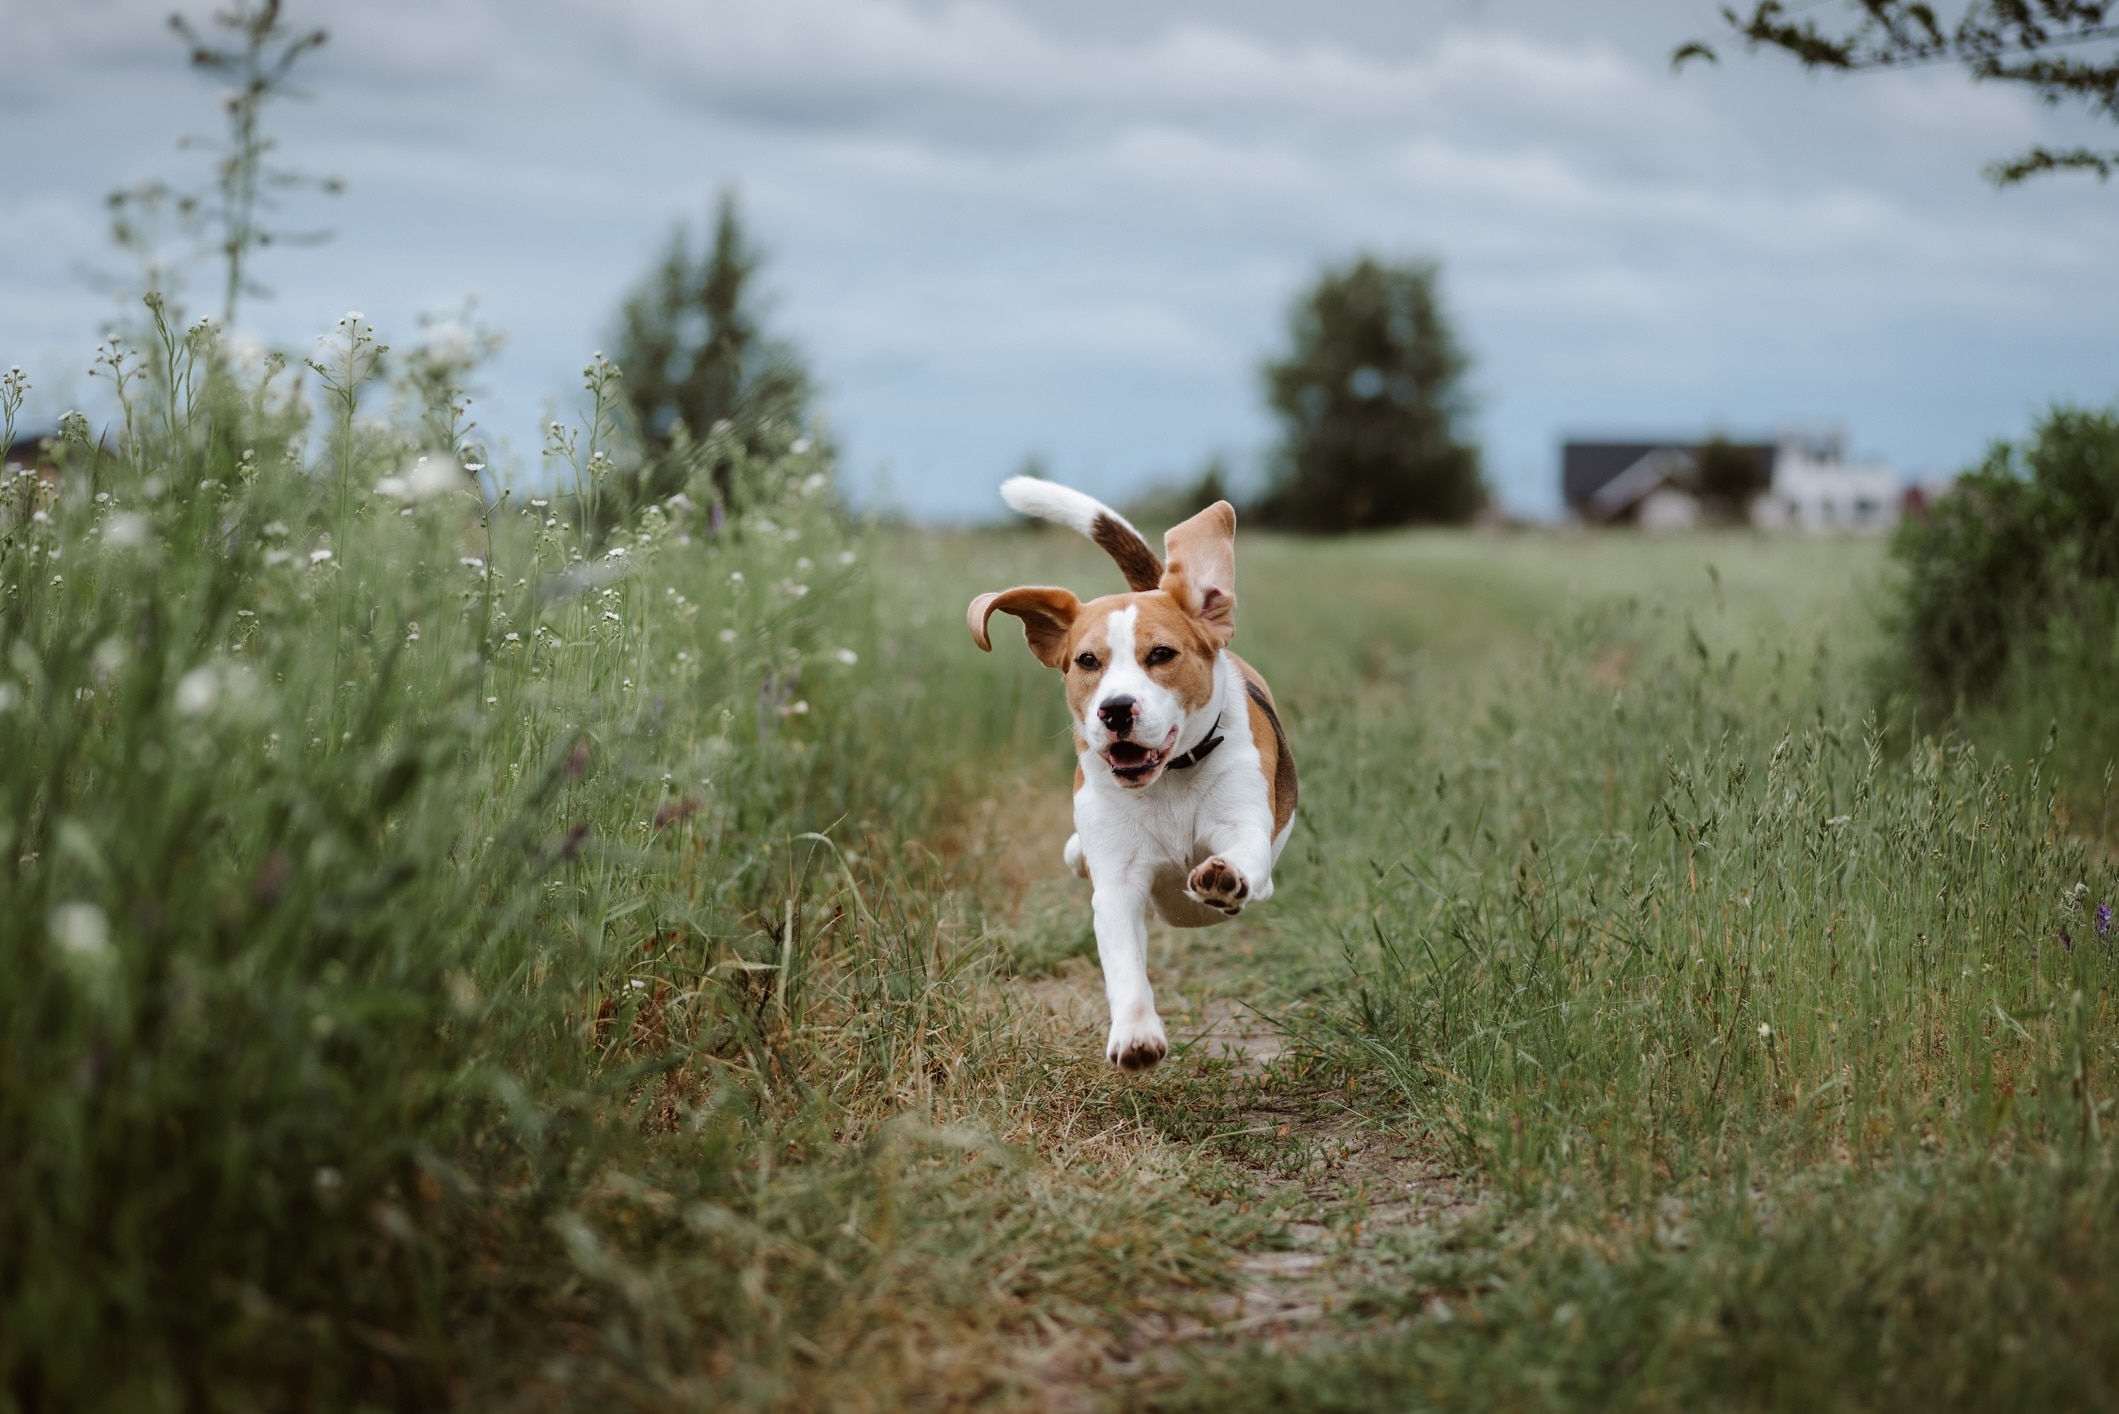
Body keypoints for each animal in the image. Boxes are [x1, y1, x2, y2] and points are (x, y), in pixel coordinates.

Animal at [970, 479, 1288, 1072]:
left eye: (1161, 654)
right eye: (1086, 661)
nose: (1115, 710)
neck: (1170, 780)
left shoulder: (1246, 825)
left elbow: (1241, 854)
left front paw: (1224, 877)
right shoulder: (1118, 884)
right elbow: (1123, 963)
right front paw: (1136, 1034)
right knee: (1078, 855)